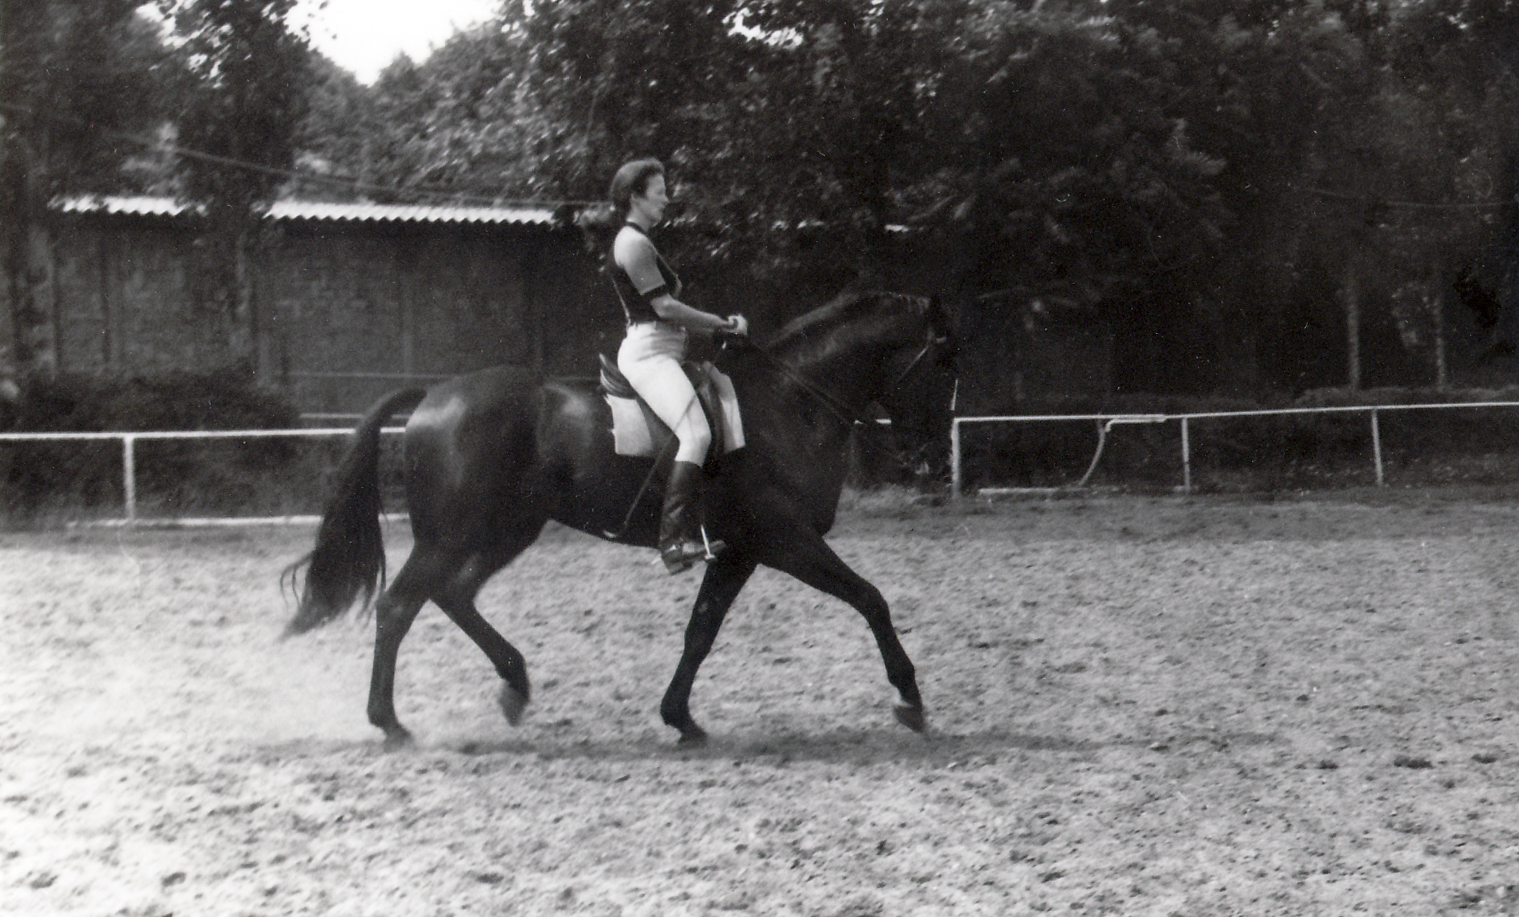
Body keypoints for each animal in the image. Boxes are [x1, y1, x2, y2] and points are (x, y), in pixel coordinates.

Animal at [283, 291, 958, 747]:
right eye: (942, 361)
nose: (931, 455)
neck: (792, 402)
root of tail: (431, 397)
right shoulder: (786, 541)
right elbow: (871, 600)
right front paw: (910, 699)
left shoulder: (740, 551)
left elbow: (701, 631)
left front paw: (680, 718)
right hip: (453, 536)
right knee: (399, 606)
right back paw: (391, 723)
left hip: (505, 531)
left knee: (452, 595)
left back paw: (514, 685)